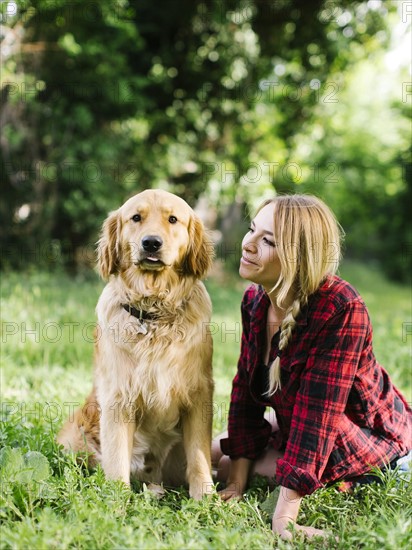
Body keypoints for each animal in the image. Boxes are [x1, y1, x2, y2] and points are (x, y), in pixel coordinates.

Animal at [58, 190, 216, 500]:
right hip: (72, 436)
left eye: (173, 219)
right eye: (136, 218)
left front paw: (205, 496)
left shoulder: (199, 393)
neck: (153, 312)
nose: (151, 243)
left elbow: (199, 455)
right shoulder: (118, 397)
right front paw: (116, 501)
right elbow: (117, 458)